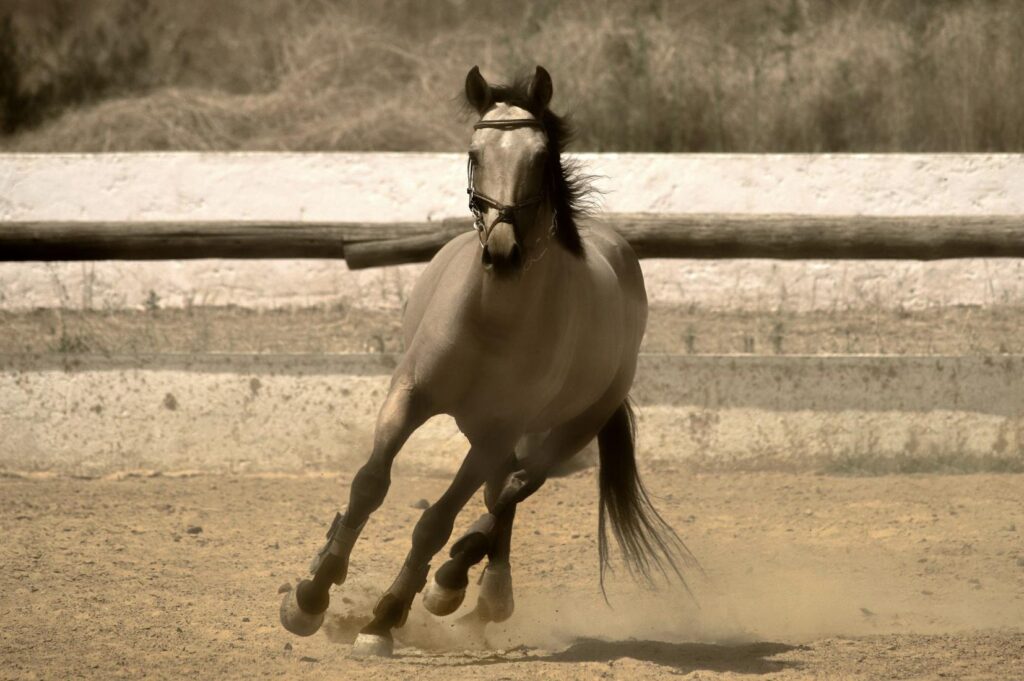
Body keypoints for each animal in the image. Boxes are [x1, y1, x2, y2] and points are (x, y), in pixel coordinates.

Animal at [280, 65, 692, 657]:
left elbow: (435, 522)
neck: (493, 319)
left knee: (515, 489)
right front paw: (310, 597)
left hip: (564, 426)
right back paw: (467, 590)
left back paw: (457, 584)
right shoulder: (410, 397)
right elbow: (369, 485)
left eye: (540, 158)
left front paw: (383, 619)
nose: (502, 252)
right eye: (475, 154)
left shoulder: (499, 429)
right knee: (503, 491)